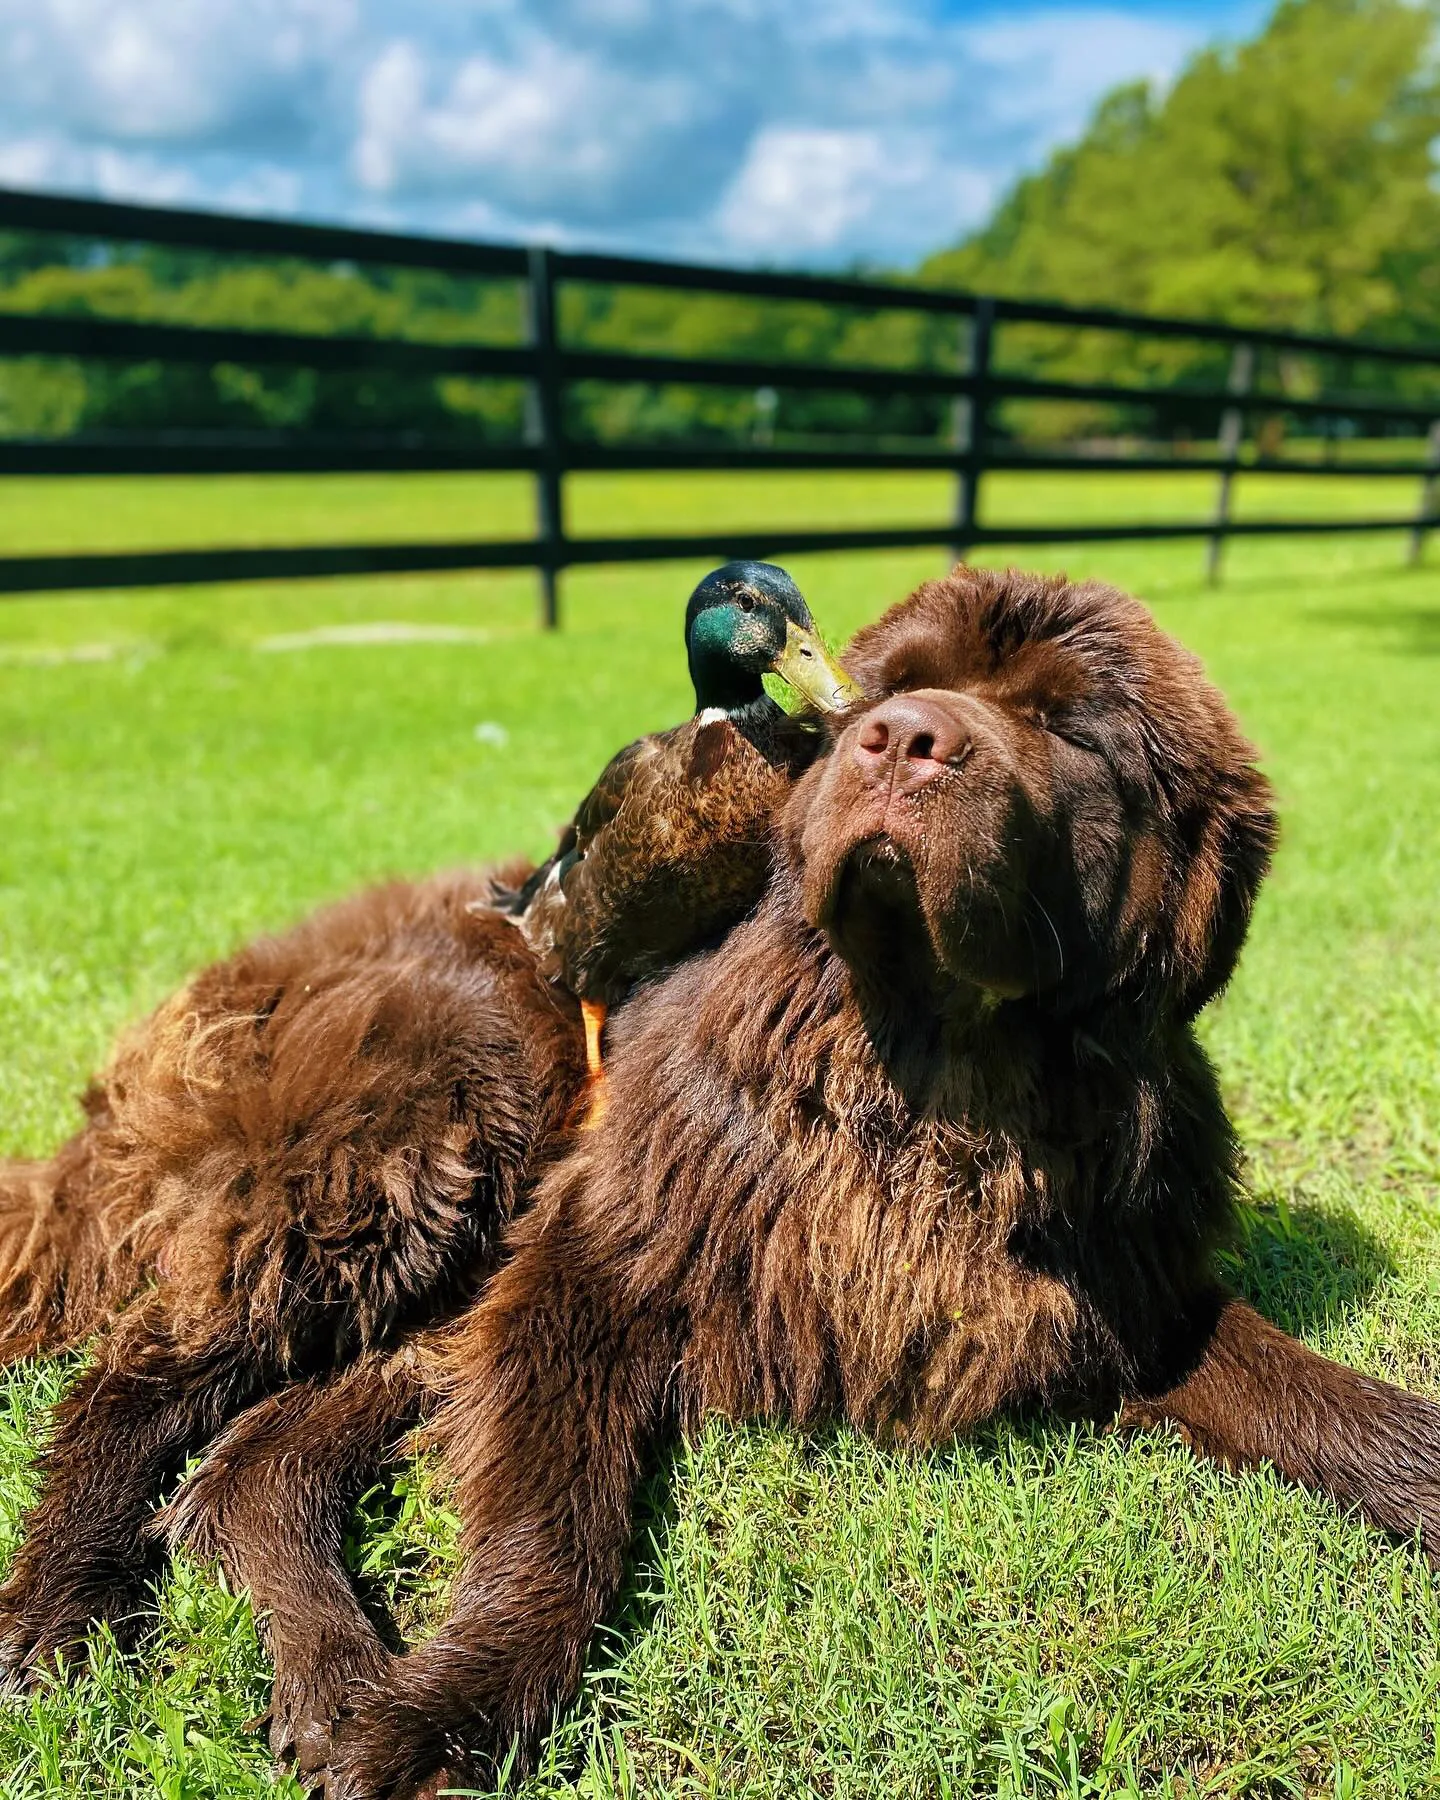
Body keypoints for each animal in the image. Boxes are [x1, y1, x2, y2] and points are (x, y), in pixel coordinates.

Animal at [295, 572, 1440, 1800]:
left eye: (1073, 730)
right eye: (891, 691)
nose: (901, 736)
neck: (927, 1094)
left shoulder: (1134, 1287)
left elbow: (1312, 1391)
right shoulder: (593, 1260)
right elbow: (556, 1506)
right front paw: (449, 1707)